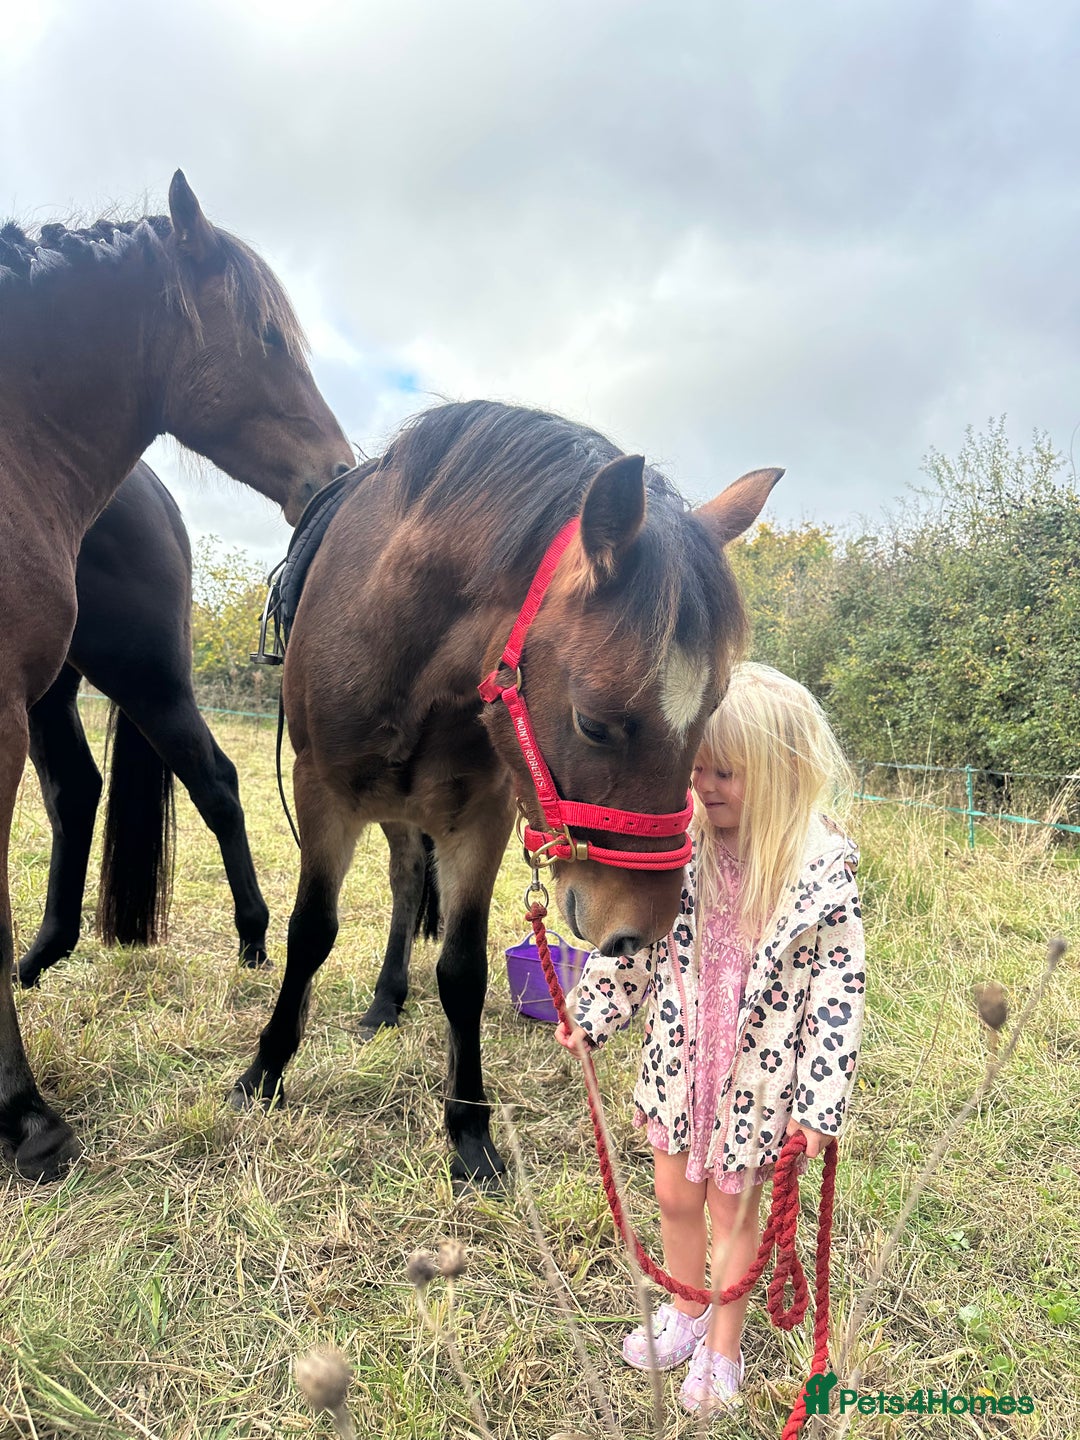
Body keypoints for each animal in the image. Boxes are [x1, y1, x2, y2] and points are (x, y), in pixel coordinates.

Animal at [230, 399, 780, 1184]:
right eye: (594, 723)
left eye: (711, 710)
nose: (637, 928)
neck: (398, 632)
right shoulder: (322, 795)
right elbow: (309, 934)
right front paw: (265, 1072)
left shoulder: (478, 817)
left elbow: (462, 970)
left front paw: (469, 1129)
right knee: (401, 880)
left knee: (407, 884)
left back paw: (388, 997)